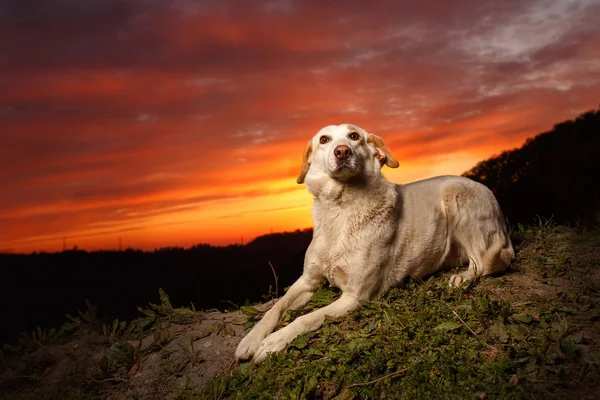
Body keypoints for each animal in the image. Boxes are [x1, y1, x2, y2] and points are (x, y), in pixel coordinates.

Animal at [237, 124, 512, 362]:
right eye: (324, 139)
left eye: (354, 136)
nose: (342, 151)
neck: (342, 209)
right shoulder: (308, 280)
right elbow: (276, 308)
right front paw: (250, 340)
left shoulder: (356, 296)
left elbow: (308, 318)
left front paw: (274, 342)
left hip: (458, 199)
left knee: (483, 264)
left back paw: (461, 278)